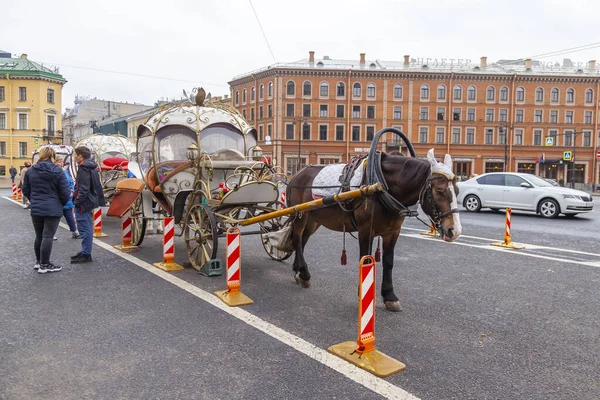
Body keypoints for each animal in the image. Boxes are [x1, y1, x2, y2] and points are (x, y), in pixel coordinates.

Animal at [288, 148, 462, 310]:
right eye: (439, 190)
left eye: (457, 191)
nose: (455, 231)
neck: (381, 186)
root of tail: (297, 174)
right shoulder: (366, 230)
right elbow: (365, 260)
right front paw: (364, 295)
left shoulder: (393, 232)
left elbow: (389, 261)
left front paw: (390, 296)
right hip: (299, 215)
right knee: (296, 239)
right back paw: (304, 274)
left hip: (313, 220)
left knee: (302, 240)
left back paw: (298, 271)